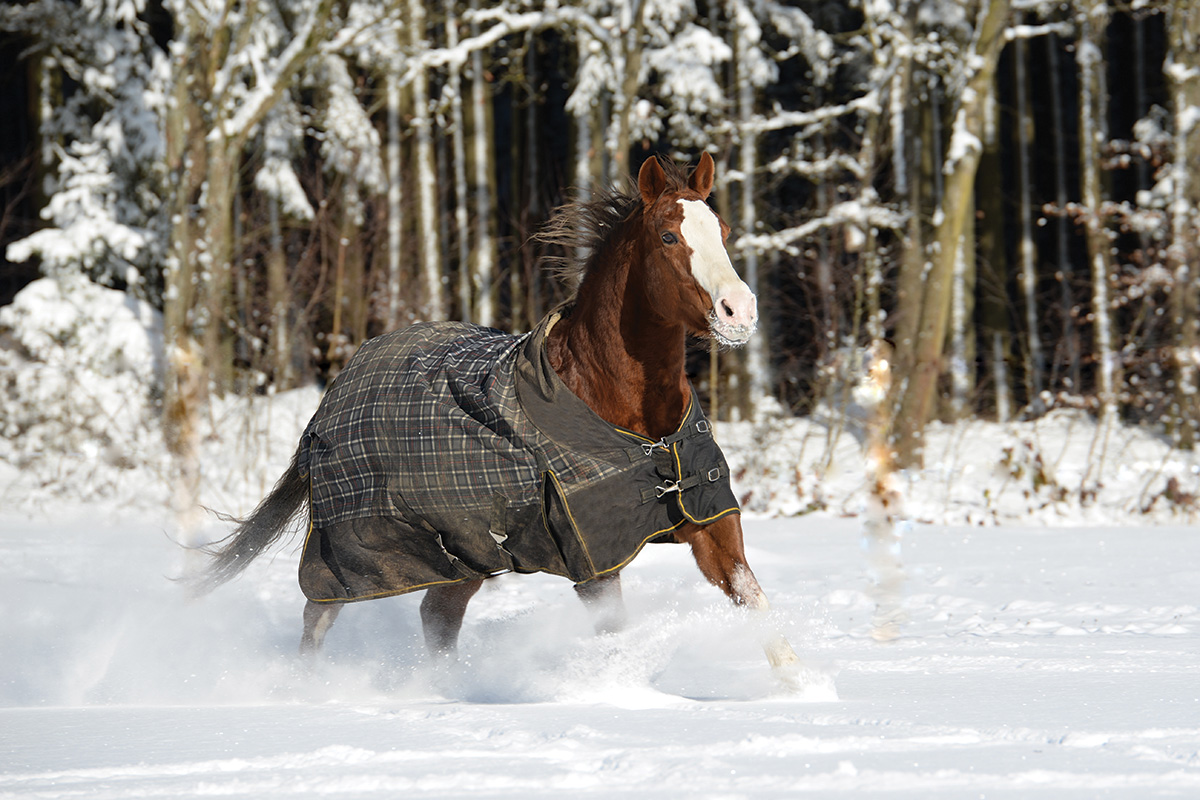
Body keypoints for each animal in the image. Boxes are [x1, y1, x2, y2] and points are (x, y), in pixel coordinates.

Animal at [201, 153, 801, 681]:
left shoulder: (711, 523)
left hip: (460, 552)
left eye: (723, 229)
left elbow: (760, 611)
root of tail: (334, 393)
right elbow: (615, 635)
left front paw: (801, 689)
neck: (635, 427)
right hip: (353, 548)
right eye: (669, 237)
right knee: (318, 616)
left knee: (437, 617)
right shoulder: (594, 559)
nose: (739, 313)